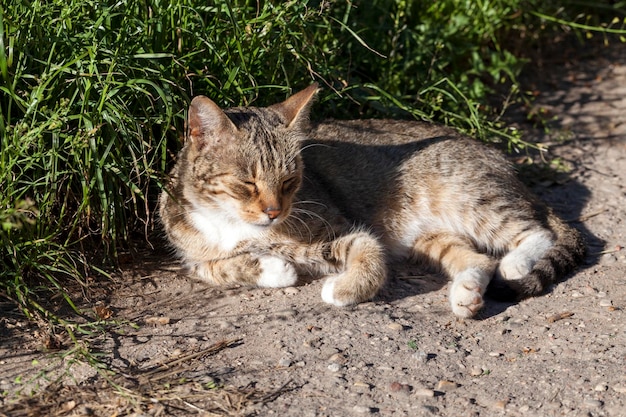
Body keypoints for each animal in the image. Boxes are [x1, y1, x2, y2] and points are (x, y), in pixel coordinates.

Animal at [157, 84, 584, 318]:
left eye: (291, 181)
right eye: (247, 182)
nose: (274, 212)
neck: (234, 224)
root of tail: (506, 165)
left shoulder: (343, 229)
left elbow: (371, 256)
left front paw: (340, 289)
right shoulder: (192, 253)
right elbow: (217, 268)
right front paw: (274, 268)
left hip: (473, 201)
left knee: (536, 232)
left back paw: (515, 263)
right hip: (431, 238)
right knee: (478, 260)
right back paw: (467, 294)